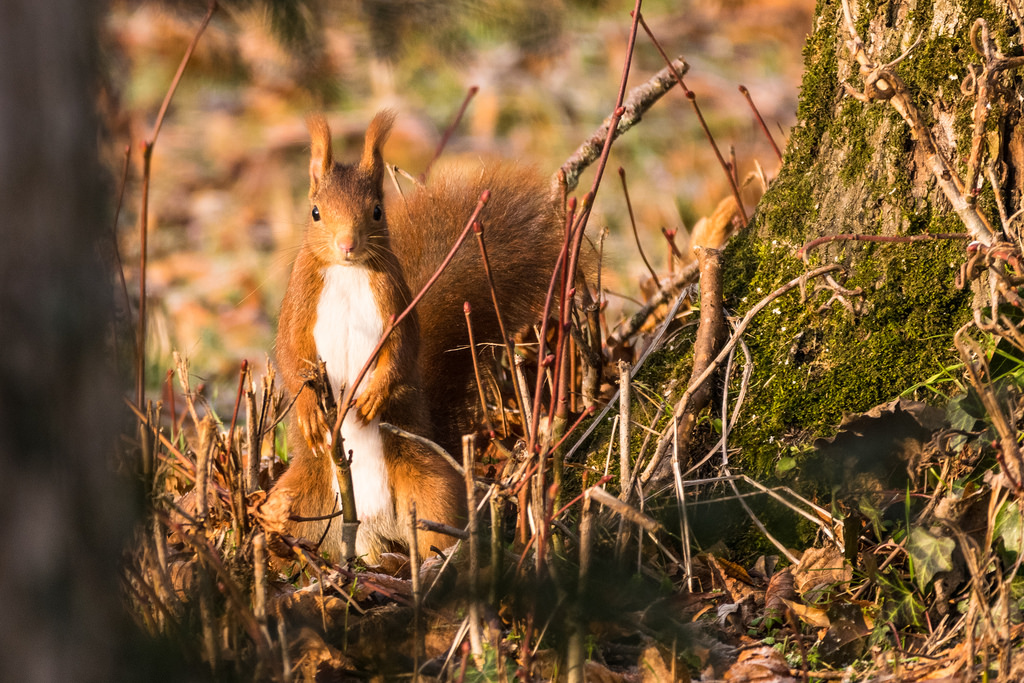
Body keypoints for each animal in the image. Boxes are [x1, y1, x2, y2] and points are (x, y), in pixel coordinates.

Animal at [268, 111, 565, 561]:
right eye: (315, 212)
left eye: (376, 211)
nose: (346, 244)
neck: (347, 273)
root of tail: (370, 529)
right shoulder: (297, 306)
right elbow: (288, 355)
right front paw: (309, 413)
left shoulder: (396, 306)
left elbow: (402, 353)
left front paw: (373, 397)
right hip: (304, 495)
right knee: (283, 517)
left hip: (429, 490)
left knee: (437, 529)